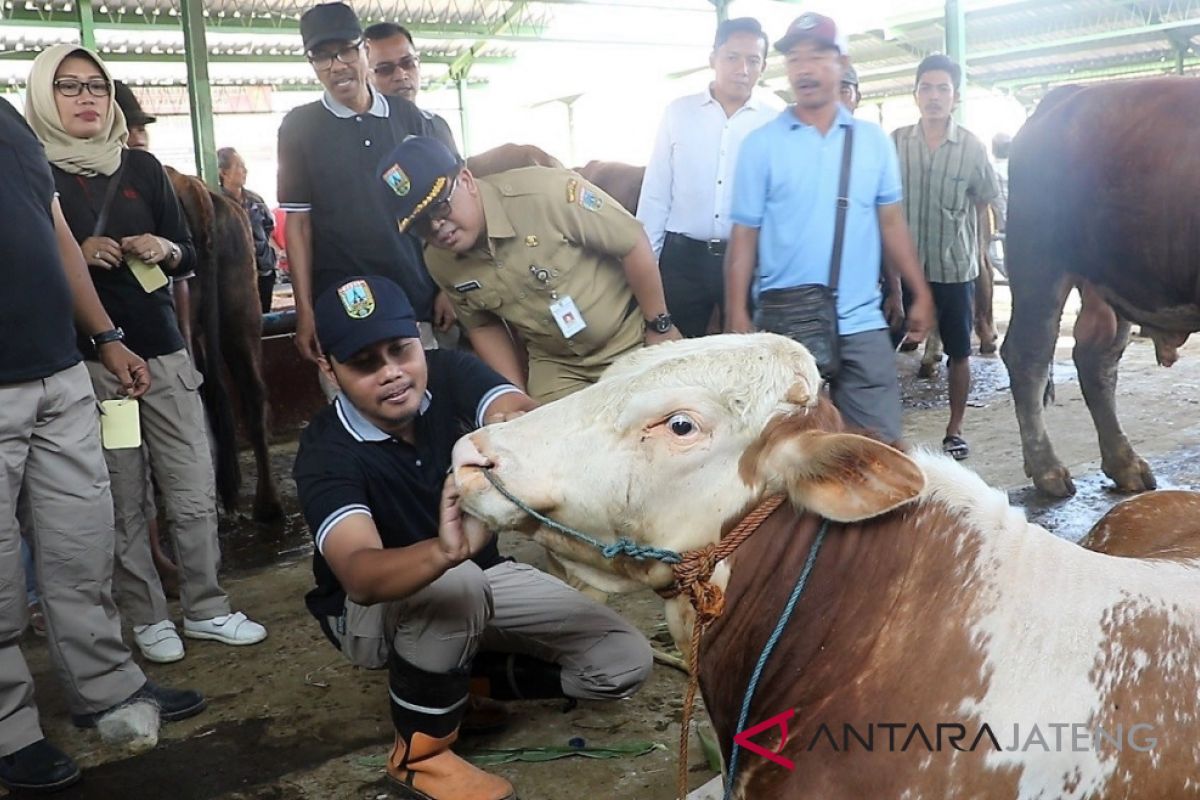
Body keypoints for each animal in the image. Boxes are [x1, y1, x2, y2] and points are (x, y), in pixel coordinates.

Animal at [1003, 77, 1200, 496]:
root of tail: (1067, 95)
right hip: (1038, 263)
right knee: (1028, 355)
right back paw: (1048, 470)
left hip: (1107, 279)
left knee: (1096, 358)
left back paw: (1125, 464)